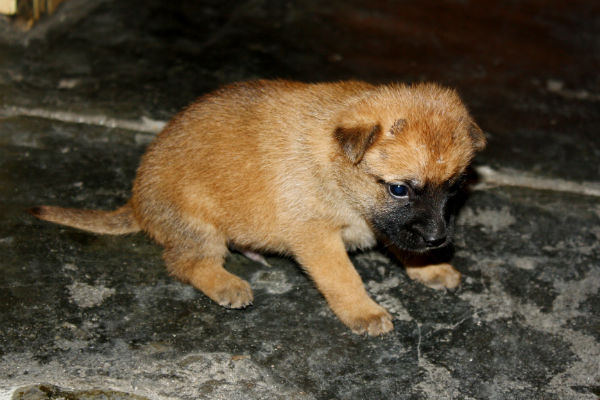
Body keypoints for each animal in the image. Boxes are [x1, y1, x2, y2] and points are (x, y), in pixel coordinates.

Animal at [30, 79, 486, 336]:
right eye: (399, 189)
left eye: (454, 187)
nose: (439, 239)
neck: (335, 165)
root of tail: (137, 202)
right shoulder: (318, 238)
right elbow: (344, 278)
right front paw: (364, 311)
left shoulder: (386, 225)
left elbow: (401, 241)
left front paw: (429, 267)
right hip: (199, 227)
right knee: (186, 263)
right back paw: (227, 284)